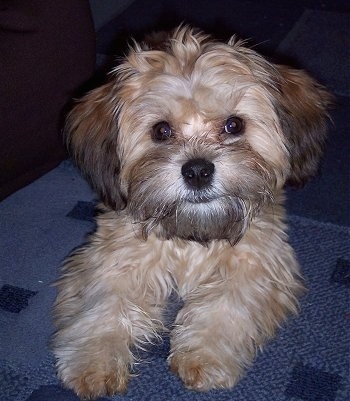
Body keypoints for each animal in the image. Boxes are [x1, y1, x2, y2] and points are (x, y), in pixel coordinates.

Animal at [51, 26, 330, 398]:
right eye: (161, 130)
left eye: (234, 125)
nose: (198, 171)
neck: (191, 234)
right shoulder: (110, 256)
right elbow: (105, 304)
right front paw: (94, 362)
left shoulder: (260, 262)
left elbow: (227, 304)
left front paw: (204, 356)